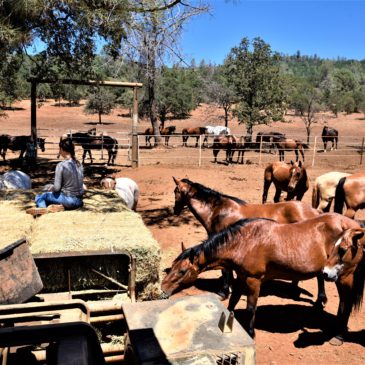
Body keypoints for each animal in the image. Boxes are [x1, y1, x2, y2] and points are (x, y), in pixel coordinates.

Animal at [163, 210, 364, 342]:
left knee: (346, 303)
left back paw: (339, 335)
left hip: (344, 277)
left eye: (182, 271)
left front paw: (250, 332)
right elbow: (232, 302)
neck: (245, 242)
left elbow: (251, 308)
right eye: (171, 267)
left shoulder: (254, 281)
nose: (162, 289)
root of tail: (356, 228)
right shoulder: (241, 277)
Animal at [171, 178, 322, 302]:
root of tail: (316, 212)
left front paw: (223, 292)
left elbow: (225, 270)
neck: (219, 211)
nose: (175, 210)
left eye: (175, 191)